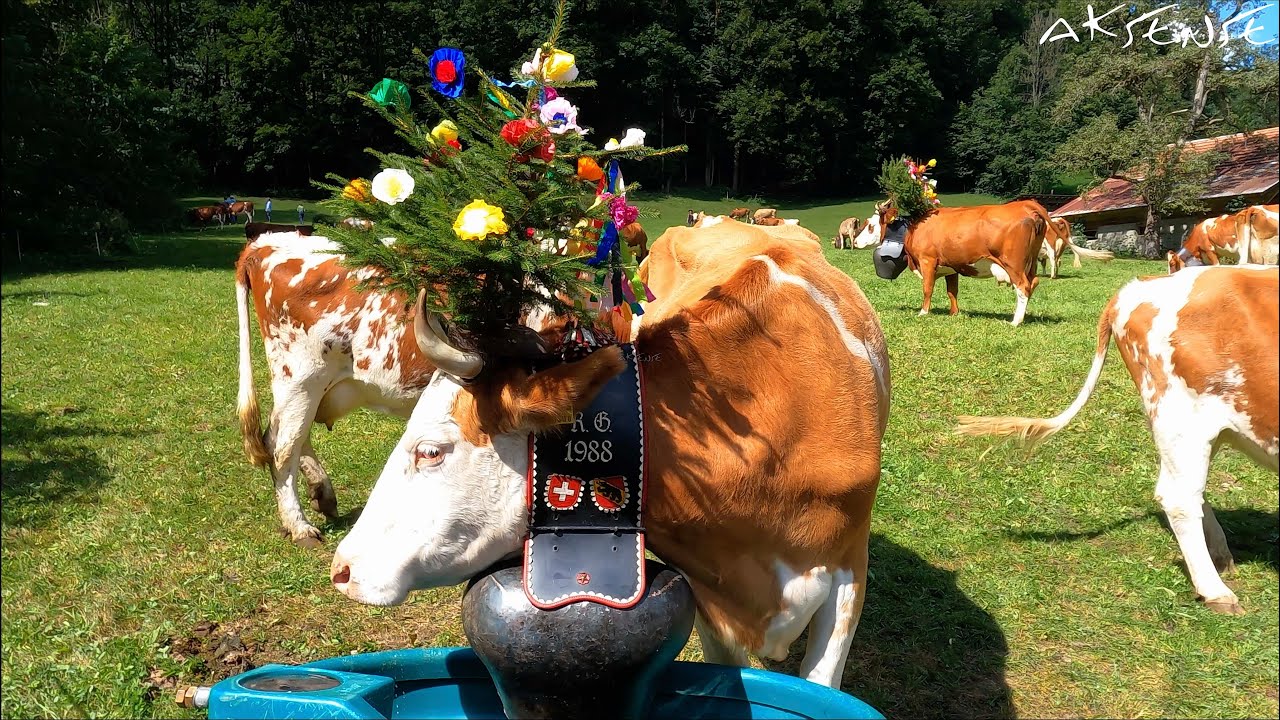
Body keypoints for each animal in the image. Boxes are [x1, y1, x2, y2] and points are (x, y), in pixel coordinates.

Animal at [236, 233, 440, 540]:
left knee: (283, 433)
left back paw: (322, 494)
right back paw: (300, 526)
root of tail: (266, 240)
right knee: (283, 446)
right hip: (302, 377)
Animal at [855, 202, 1044, 325]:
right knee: (1033, 282)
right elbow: (952, 292)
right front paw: (954, 313)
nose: (855, 241)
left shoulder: (927, 261)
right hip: (1031, 264)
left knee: (1023, 287)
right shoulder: (952, 268)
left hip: (1013, 265)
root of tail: (1026, 207)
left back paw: (1016, 321)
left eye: (870, 226)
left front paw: (923, 312)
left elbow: (927, 289)